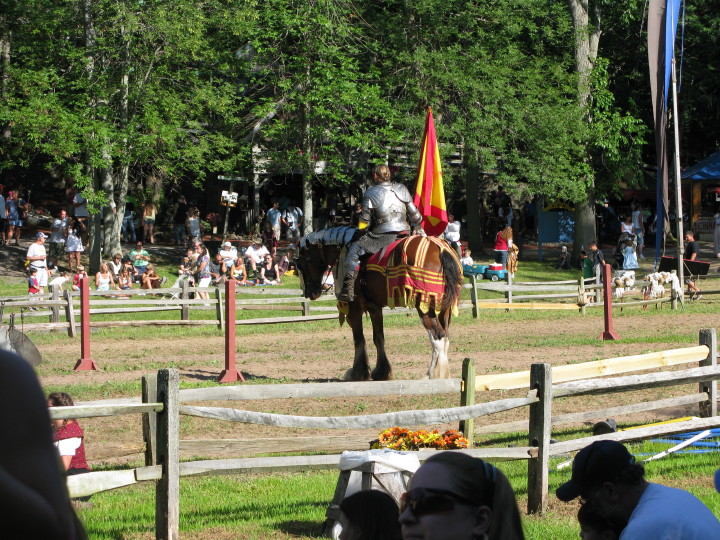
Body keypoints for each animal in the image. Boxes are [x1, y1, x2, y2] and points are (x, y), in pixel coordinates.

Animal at [296, 226, 462, 382]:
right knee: (445, 336)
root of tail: (440, 248)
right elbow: (378, 337)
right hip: (444, 308)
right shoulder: (374, 307)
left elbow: (359, 338)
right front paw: (381, 372)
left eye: (303, 262)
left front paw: (358, 372)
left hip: (425, 306)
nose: (310, 292)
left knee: (437, 335)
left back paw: (432, 374)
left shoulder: (354, 307)